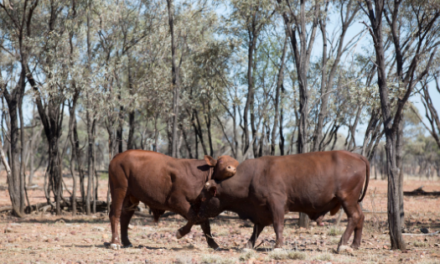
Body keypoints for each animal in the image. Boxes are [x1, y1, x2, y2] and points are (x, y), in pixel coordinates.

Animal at [105, 151, 237, 250]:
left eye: (236, 163)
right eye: (221, 161)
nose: (231, 168)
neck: (202, 175)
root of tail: (118, 156)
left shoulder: (197, 203)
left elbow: (204, 223)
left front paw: (214, 244)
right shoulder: (175, 200)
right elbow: (194, 217)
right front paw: (180, 232)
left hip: (131, 196)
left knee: (125, 217)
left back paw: (126, 242)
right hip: (119, 190)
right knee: (115, 214)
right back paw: (115, 242)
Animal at [194, 151, 370, 252]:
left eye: (203, 198)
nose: (197, 214)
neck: (252, 176)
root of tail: (357, 156)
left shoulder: (276, 204)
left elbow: (278, 225)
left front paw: (278, 246)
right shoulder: (260, 210)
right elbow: (256, 230)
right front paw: (248, 246)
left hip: (347, 198)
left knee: (354, 217)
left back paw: (342, 244)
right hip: (352, 201)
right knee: (360, 217)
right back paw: (355, 245)